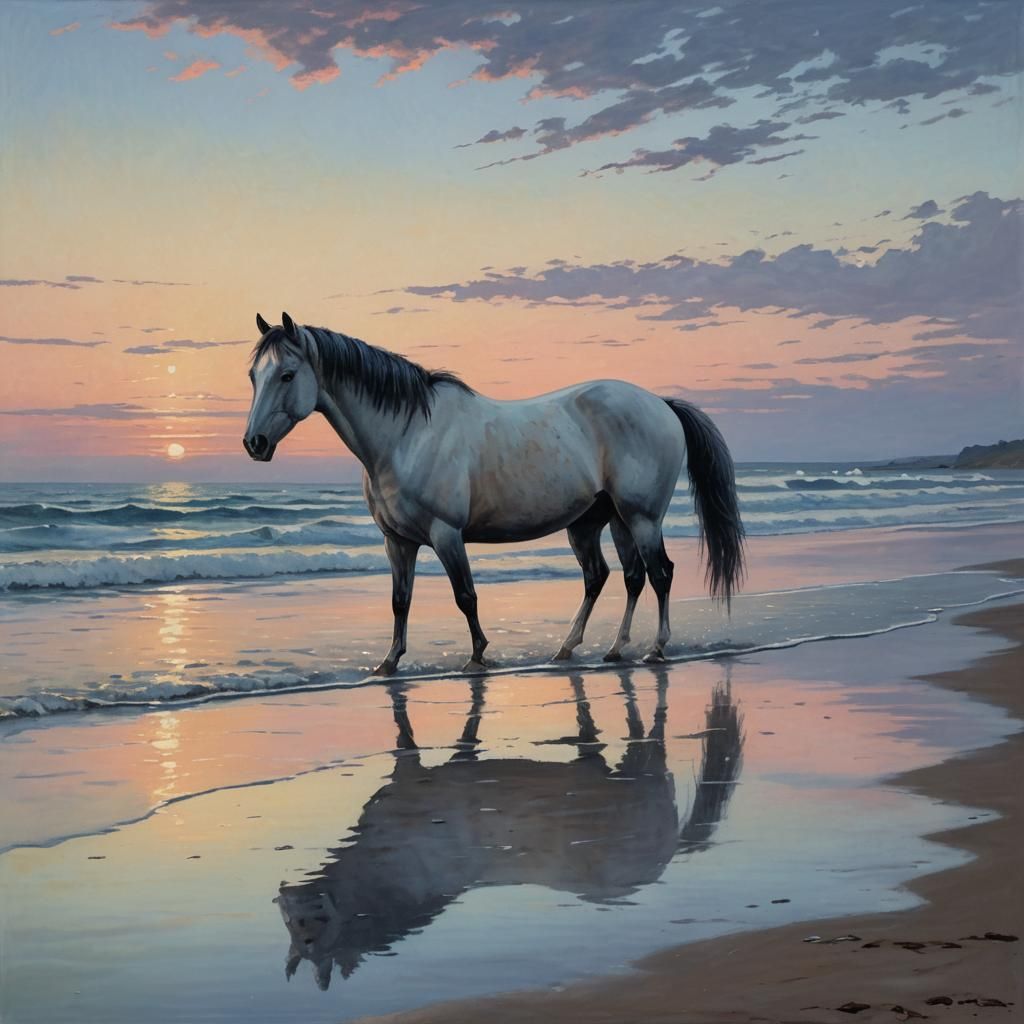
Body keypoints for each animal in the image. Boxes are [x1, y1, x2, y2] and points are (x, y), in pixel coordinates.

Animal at [243, 312, 745, 674]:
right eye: (253, 375)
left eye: (287, 375)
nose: (254, 444)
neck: (406, 435)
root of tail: (662, 404)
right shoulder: (397, 541)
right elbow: (400, 601)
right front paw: (388, 662)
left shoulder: (446, 534)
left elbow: (465, 595)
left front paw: (479, 655)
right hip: (601, 520)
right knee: (618, 577)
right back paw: (594, 649)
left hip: (642, 518)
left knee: (659, 574)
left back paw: (655, 649)